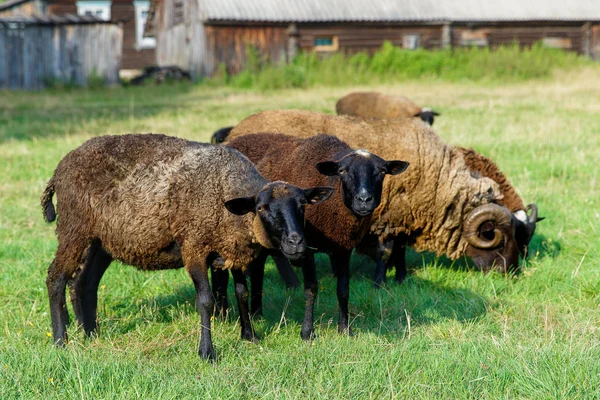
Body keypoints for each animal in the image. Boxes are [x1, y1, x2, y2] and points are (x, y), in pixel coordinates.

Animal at [41, 134, 332, 360]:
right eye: (261, 208)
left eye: (303, 205)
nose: (296, 242)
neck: (225, 191)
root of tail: (58, 170)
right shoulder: (194, 247)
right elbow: (205, 300)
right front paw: (207, 352)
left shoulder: (232, 249)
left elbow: (242, 293)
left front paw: (250, 336)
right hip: (73, 228)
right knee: (56, 278)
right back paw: (60, 340)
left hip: (102, 240)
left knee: (84, 282)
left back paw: (90, 333)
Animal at [220, 134, 408, 338]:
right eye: (342, 171)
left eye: (381, 172)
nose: (364, 200)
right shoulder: (306, 248)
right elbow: (311, 288)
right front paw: (307, 332)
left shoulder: (344, 248)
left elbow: (343, 289)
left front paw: (345, 329)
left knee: (258, 269)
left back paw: (257, 314)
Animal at [227, 109, 528, 278]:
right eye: (496, 236)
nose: (511, 273)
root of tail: (235, 131)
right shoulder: (388, 217)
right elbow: (387, 251)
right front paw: (380, 282)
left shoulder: (404, 216)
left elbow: (400, 250)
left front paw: (401, 277)